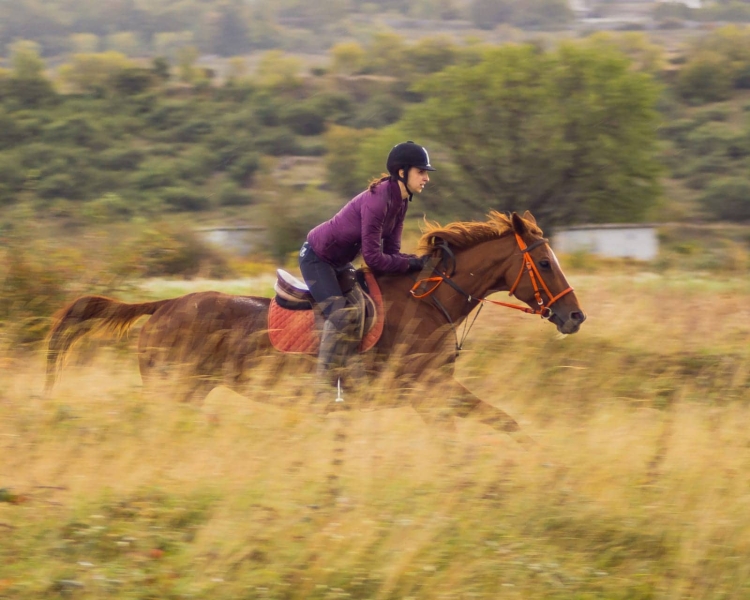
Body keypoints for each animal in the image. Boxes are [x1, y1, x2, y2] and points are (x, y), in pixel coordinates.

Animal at [45, 211, 588, 436]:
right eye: (544, 263)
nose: (575, 316)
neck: (428, 302)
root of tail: (163, 306)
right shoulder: (428, 389)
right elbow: (497, 423)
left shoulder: (432, 393)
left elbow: (499, 423)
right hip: (173, 387)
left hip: (186, 388)